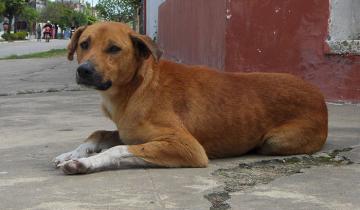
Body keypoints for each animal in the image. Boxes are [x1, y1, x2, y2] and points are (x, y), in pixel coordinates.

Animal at [54, 22, 330, 175]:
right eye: (84, 44)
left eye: (114, 48)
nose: (84, 71)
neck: (137, 87)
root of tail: (318, 93)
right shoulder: (128, 132)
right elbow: (99, 133)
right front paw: (72, 153)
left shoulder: (188, 147)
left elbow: (119, 149)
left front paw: (84, 163)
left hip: (275, 142)